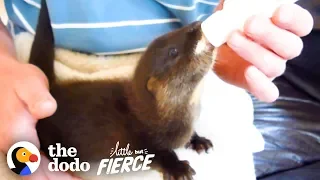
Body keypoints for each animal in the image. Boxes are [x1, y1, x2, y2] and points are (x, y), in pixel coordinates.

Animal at [30, 0, 215, 179]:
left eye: (174, 31)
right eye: (173, 51)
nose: (196, 24)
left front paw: (199, 140)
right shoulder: (142, 139)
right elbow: (158, 155)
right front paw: (178, 169)